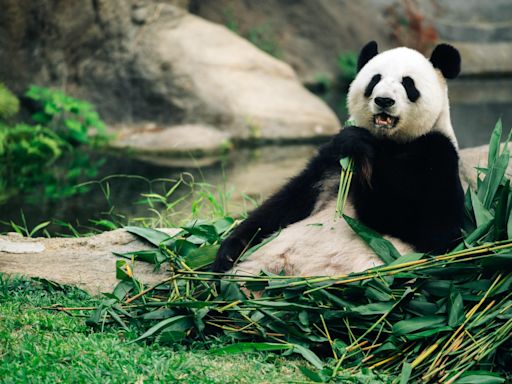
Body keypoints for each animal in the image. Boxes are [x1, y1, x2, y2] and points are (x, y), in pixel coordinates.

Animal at [212, 42, 464, 276]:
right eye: (375, 79)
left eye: (408, 83)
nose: (384, 101)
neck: (387, 142)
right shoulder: (331, 161)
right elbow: (286, 203)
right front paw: (228, 250)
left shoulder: (436, 154)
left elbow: (431, 228)